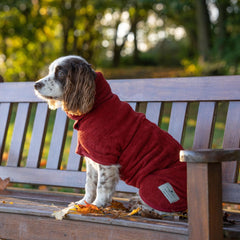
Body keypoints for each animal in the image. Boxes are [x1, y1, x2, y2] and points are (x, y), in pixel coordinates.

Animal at [34, 56, 188, 216]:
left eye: (61, 73)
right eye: (50, 71)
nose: (35, 84)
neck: (95, 106)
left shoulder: (106, 159)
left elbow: (101, 186)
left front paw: (96, 206)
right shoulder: (91, 158)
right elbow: (90, 184)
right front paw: (83, 204)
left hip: (152, 184)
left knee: (172, 212)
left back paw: (143, 209)